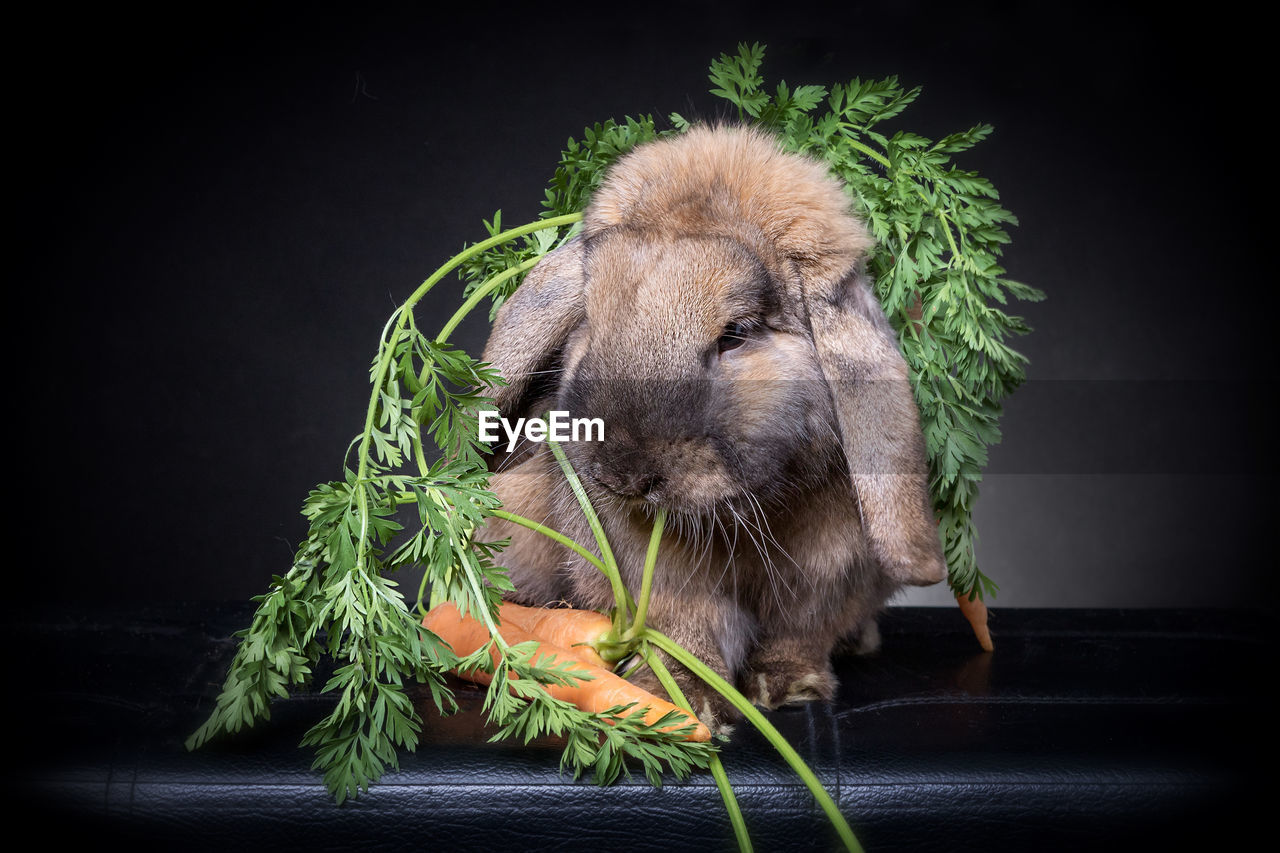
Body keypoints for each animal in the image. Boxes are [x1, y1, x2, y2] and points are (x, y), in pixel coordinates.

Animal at [476, 122, 947, 727]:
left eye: (737, 333)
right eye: (591, 322)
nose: (622, 475)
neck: (751, 513)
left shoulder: (830, 577)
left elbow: (800, 633)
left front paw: (788, 689)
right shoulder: (658, 578)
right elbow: (685, 630)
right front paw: (687, 703)